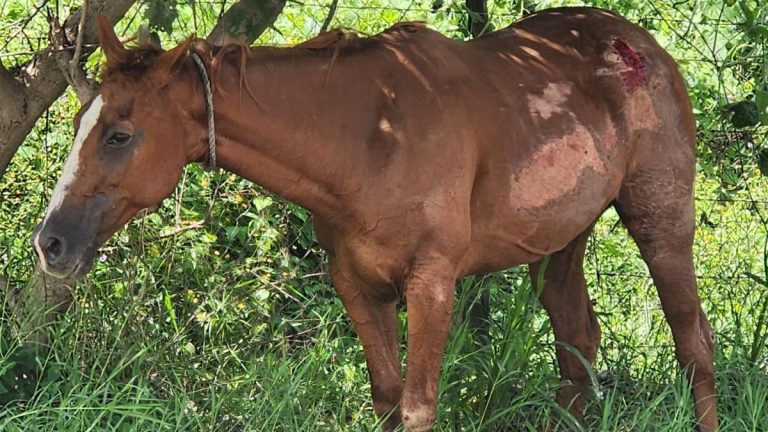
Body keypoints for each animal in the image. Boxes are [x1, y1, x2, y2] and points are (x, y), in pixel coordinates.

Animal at [33, 7, 716, 432]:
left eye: (119, 135)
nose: (51, 242)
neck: (369, 140)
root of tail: (644, 46)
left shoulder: (432, 283)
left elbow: (417, 407)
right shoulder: (359, 287)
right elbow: (387, 399)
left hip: (661, 223)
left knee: (693, 345)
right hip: (561, 241)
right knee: (578, 349)